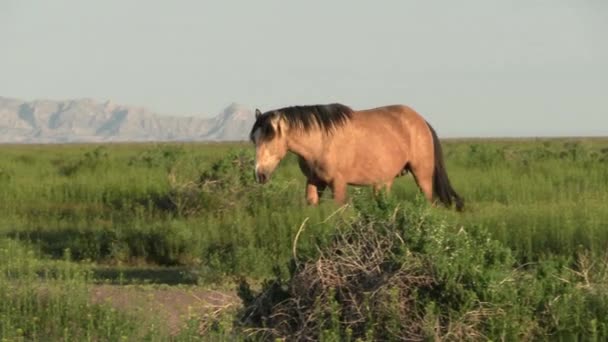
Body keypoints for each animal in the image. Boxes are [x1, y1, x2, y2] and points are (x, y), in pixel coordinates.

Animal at [249, 103, 464, 211]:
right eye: (254, 139)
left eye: (270, 137)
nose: (260, 175)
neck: (321, 140)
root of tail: (421, 121)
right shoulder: (314, 181)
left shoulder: (338, 184)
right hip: (383, 182)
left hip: (422, 176)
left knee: (429, 201)